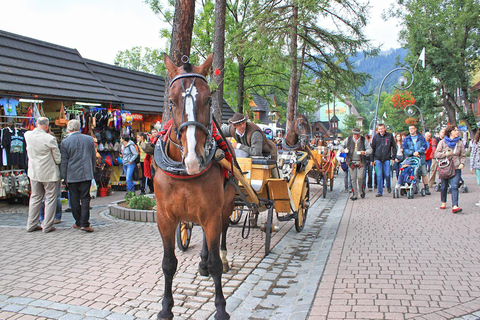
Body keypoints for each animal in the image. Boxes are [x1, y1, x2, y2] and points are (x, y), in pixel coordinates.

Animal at [155, 53, 235, 318]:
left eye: (209, 99)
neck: (184, 174)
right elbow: (169, 264)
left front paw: (221, 309)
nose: (193, 158)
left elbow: (216, 264)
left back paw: (221, 256)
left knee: (222, 232)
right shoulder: (165, 217)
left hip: (226, 207)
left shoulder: (212, 213)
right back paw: (201, 261)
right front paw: (166, 308)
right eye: (171, 101)